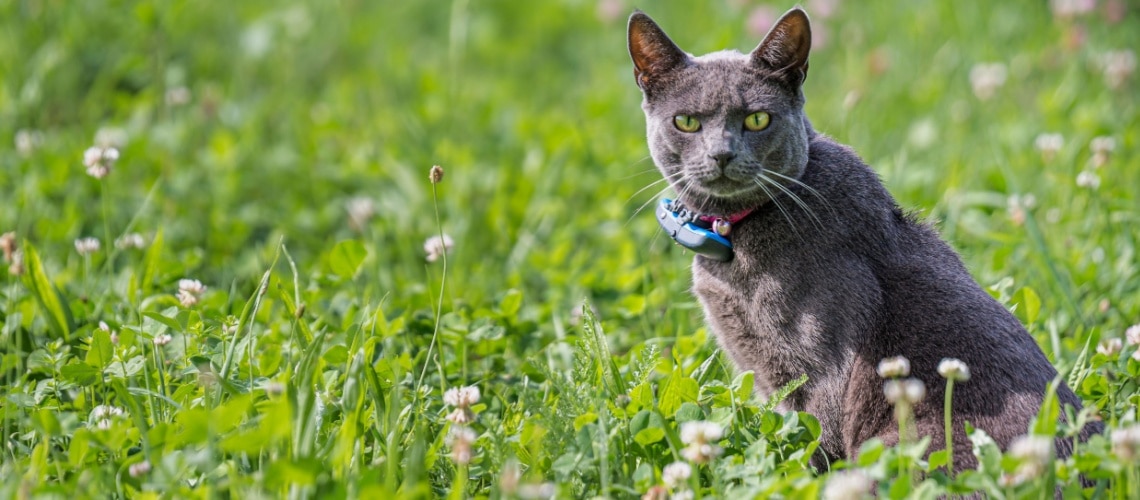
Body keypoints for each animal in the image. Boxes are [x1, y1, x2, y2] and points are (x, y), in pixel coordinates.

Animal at [629, 5, 1098, 471]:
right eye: (687, 122)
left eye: (757, 119)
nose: (722, 154)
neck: (732, 235)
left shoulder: (821, 367)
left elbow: (811, 442)